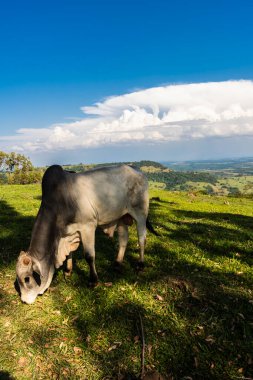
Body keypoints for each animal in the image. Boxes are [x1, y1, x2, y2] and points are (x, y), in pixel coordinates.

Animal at [15, 165, 153, 304]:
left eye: (27, 279)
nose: (24, 300)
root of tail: (137, 170)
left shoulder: (88, 226)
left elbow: (89, 256)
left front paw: (93, 280)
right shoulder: (69, 233)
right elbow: (70, 253)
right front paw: (68, 271)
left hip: (141, 213)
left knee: (142, 239)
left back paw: (140, 265)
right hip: (121, 218)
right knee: (123, 240)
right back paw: (117, 263)